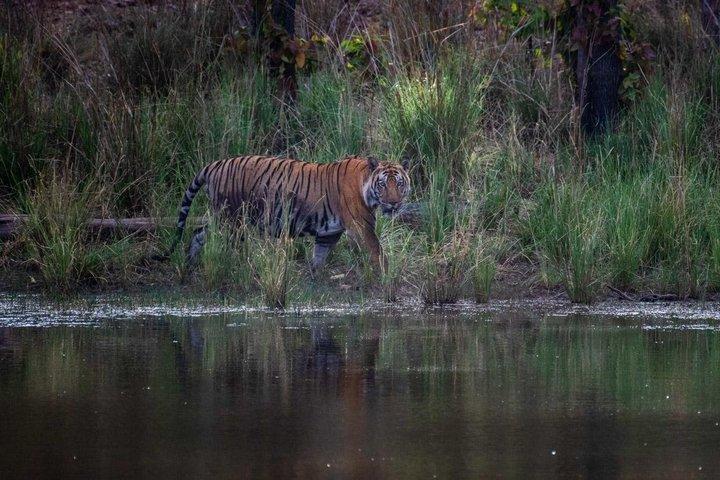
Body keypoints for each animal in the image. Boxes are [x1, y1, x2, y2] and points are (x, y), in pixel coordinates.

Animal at [162, 155, 411, 273]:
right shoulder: (361, 226)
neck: (366, 185)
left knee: (197, 232)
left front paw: (314, 278)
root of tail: (214, 164)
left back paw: (189, 263)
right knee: (224, 244)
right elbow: (377, 252)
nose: (394, 203)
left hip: (221, 218)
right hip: (232, 219)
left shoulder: (328, 233)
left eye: (399, 184)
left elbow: (318, 258)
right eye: (383, 185)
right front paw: (389, 276)